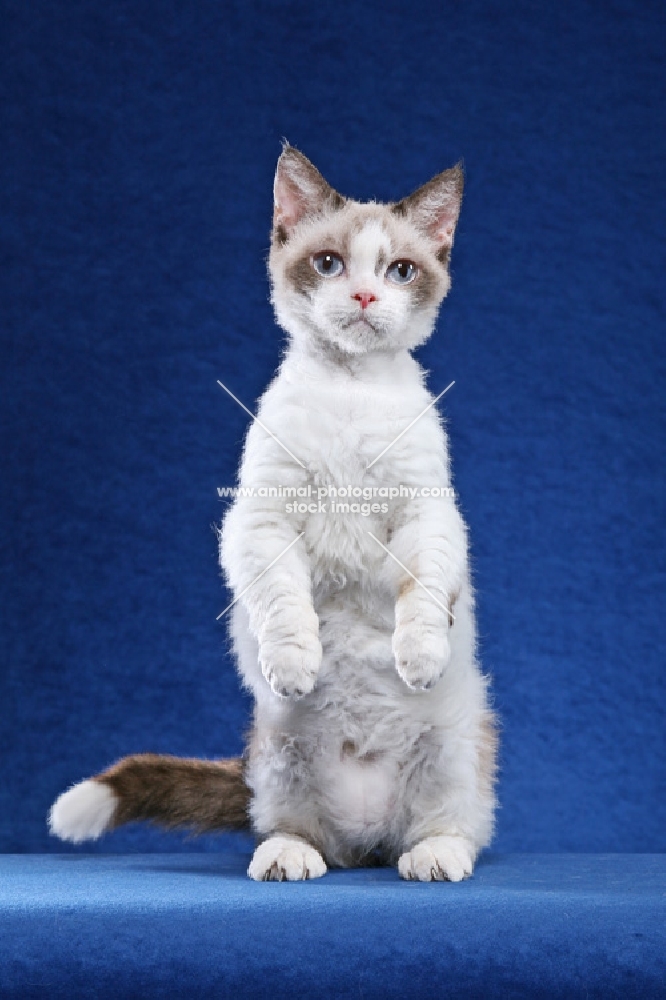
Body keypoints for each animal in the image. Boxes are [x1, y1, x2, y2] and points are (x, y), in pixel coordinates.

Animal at [49, 146, 496, 884]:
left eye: (400, 271)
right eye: (330, 264)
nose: (365, 297)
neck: (349, 392)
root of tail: (369, 841)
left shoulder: (425, 514)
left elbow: (423, 592)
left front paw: (419, 655)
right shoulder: (261, 519)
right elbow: (285, 602)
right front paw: (295, 665)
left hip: (455, 749)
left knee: (446, 827)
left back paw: (431, 856)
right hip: (279, 754)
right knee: (296, 830)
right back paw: (291, 856)